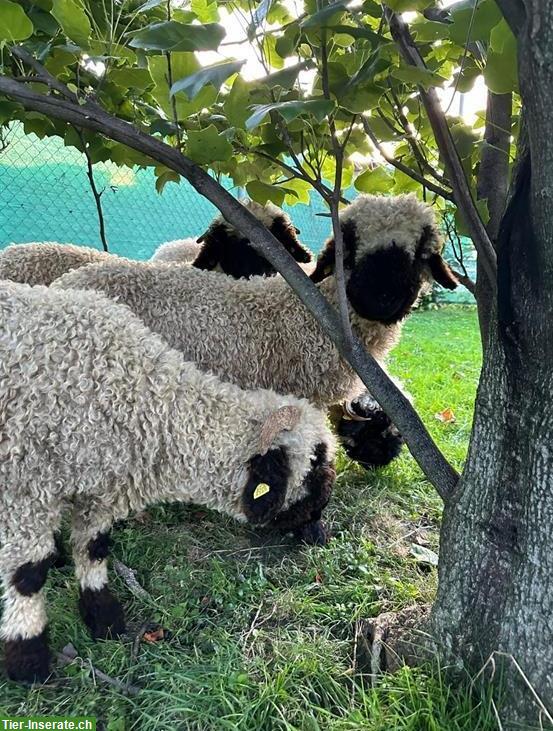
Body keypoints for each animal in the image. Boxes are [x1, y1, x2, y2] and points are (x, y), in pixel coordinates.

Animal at [0, 280, 334, 688]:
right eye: (313, 471)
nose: (320, 530)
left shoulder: (100, 492)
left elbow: (94, 548)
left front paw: (104, 620)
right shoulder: (27, 489)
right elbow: (28, 574)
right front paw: (27, 660)